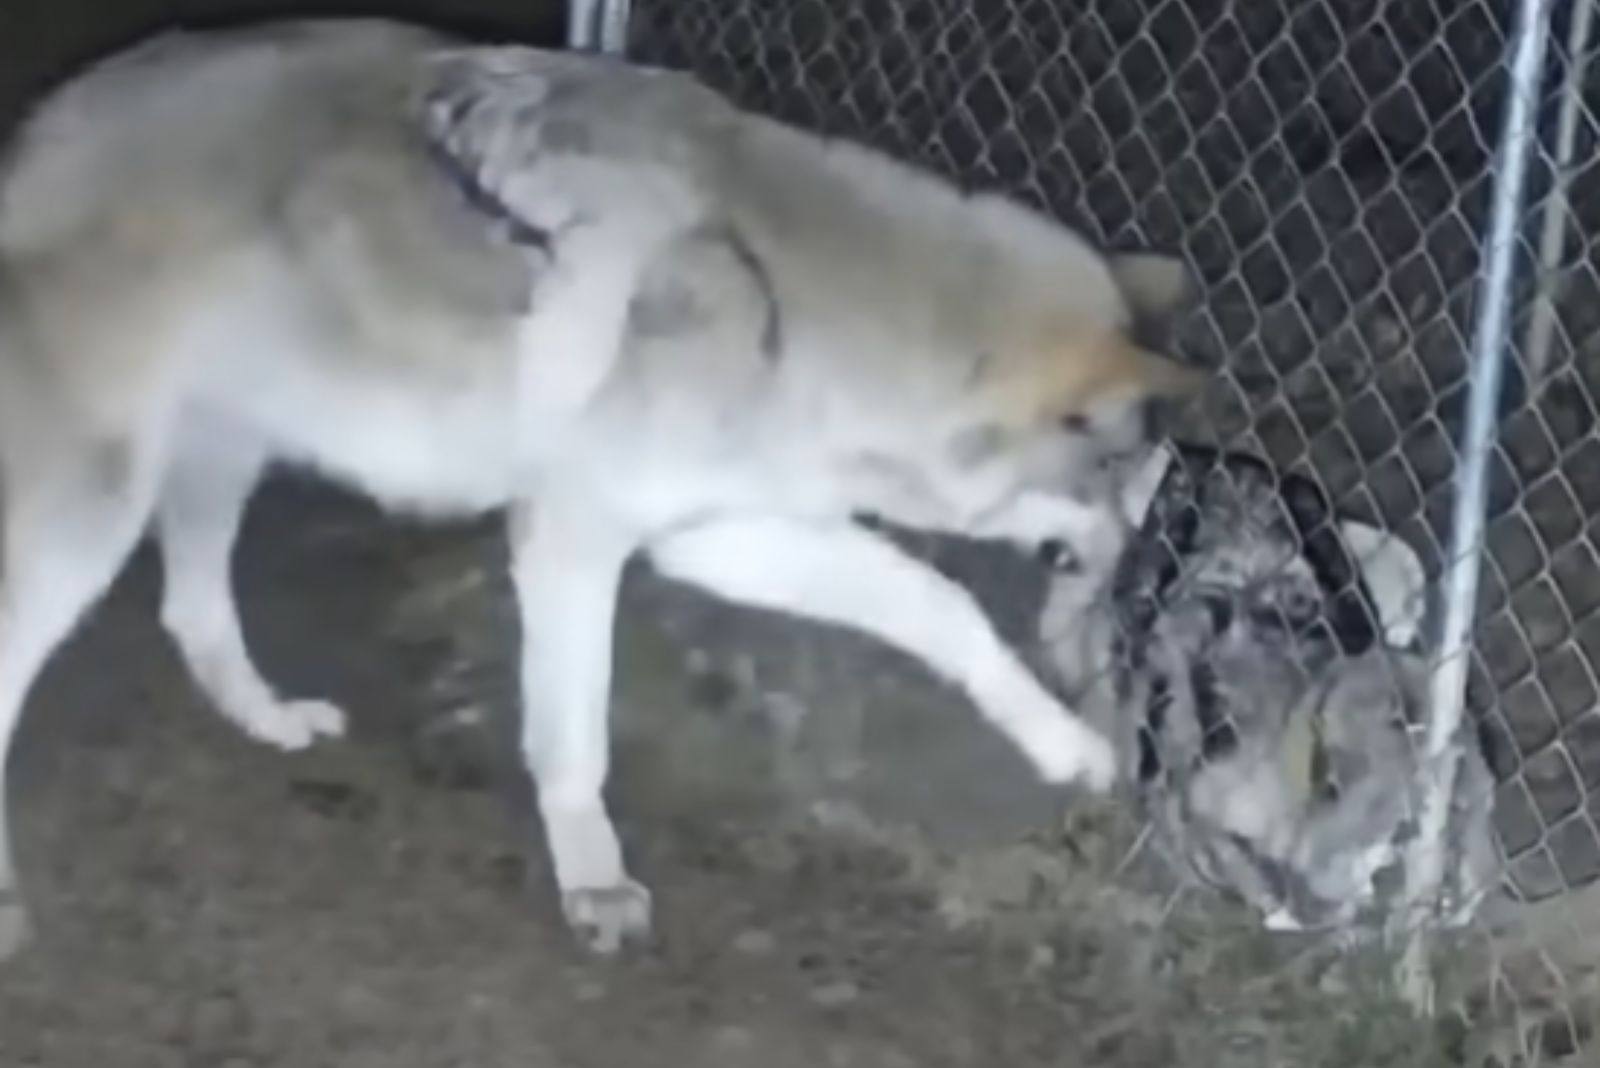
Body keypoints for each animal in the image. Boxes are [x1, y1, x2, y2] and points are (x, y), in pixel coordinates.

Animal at [0, 16, 1203, 952]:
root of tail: (43, 126)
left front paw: (1064, 743)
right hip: (89, 517)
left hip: (219, 456)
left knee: (190, 607)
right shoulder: (573, 537)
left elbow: (940, 604)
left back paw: (265, 717)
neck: (798, 316)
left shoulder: (715, 533)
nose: (1131, 573)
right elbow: (575, 735)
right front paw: (593, 878)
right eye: (1115, 478)